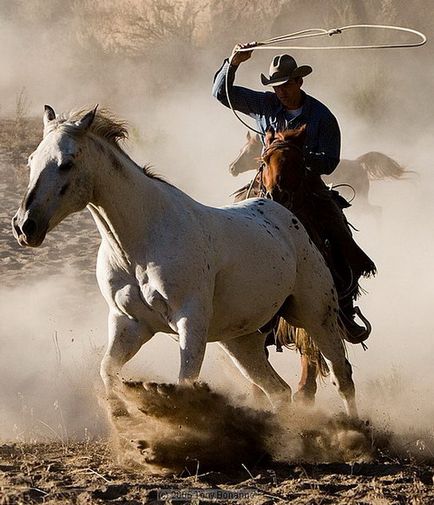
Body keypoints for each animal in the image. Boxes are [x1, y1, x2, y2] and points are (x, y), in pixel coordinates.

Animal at [13, 104, 358, 416]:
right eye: (32, 160)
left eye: (66, 163)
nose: (24, 225)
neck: (139, 244)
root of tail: (288, 216)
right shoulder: (129, 324)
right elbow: (108, 371)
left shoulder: (189, 322)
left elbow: (184, 384)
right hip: (240, 339)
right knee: (279, 391)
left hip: (317, 315)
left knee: (342, 376)